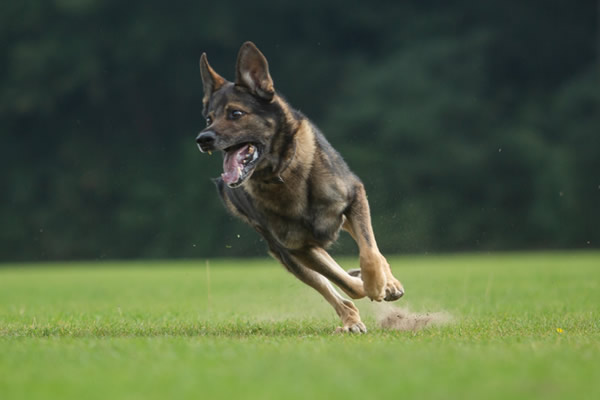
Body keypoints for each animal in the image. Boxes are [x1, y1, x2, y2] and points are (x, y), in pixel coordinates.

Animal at [197, 42, 404, 332]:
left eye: (235, 113)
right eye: (209, 118)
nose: (202, 139)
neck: (282, 172)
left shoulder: (354, 197)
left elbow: (369, 253)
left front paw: (378, 284)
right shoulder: (297, 248)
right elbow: (347, 285)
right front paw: (366, 285)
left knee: (370, 251)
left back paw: (388, 283)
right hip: (287, 256)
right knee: (335, 291)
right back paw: (351, 319)